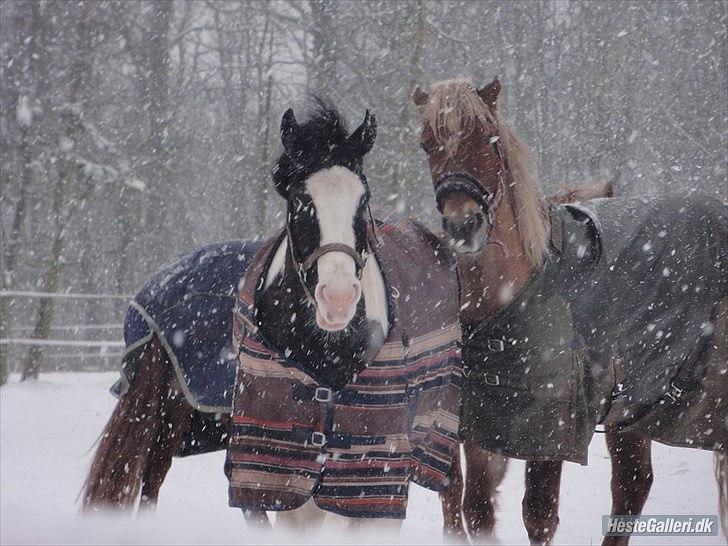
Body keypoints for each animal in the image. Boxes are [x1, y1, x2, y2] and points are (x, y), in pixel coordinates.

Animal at [412, 77, 724, 544]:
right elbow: (477, 508)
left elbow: (539, 515)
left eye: (489, 140)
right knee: (632, 484)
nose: (463, 225)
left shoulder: (551, 429)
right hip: (633, 407)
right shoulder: (479, 426)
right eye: (427, 144)